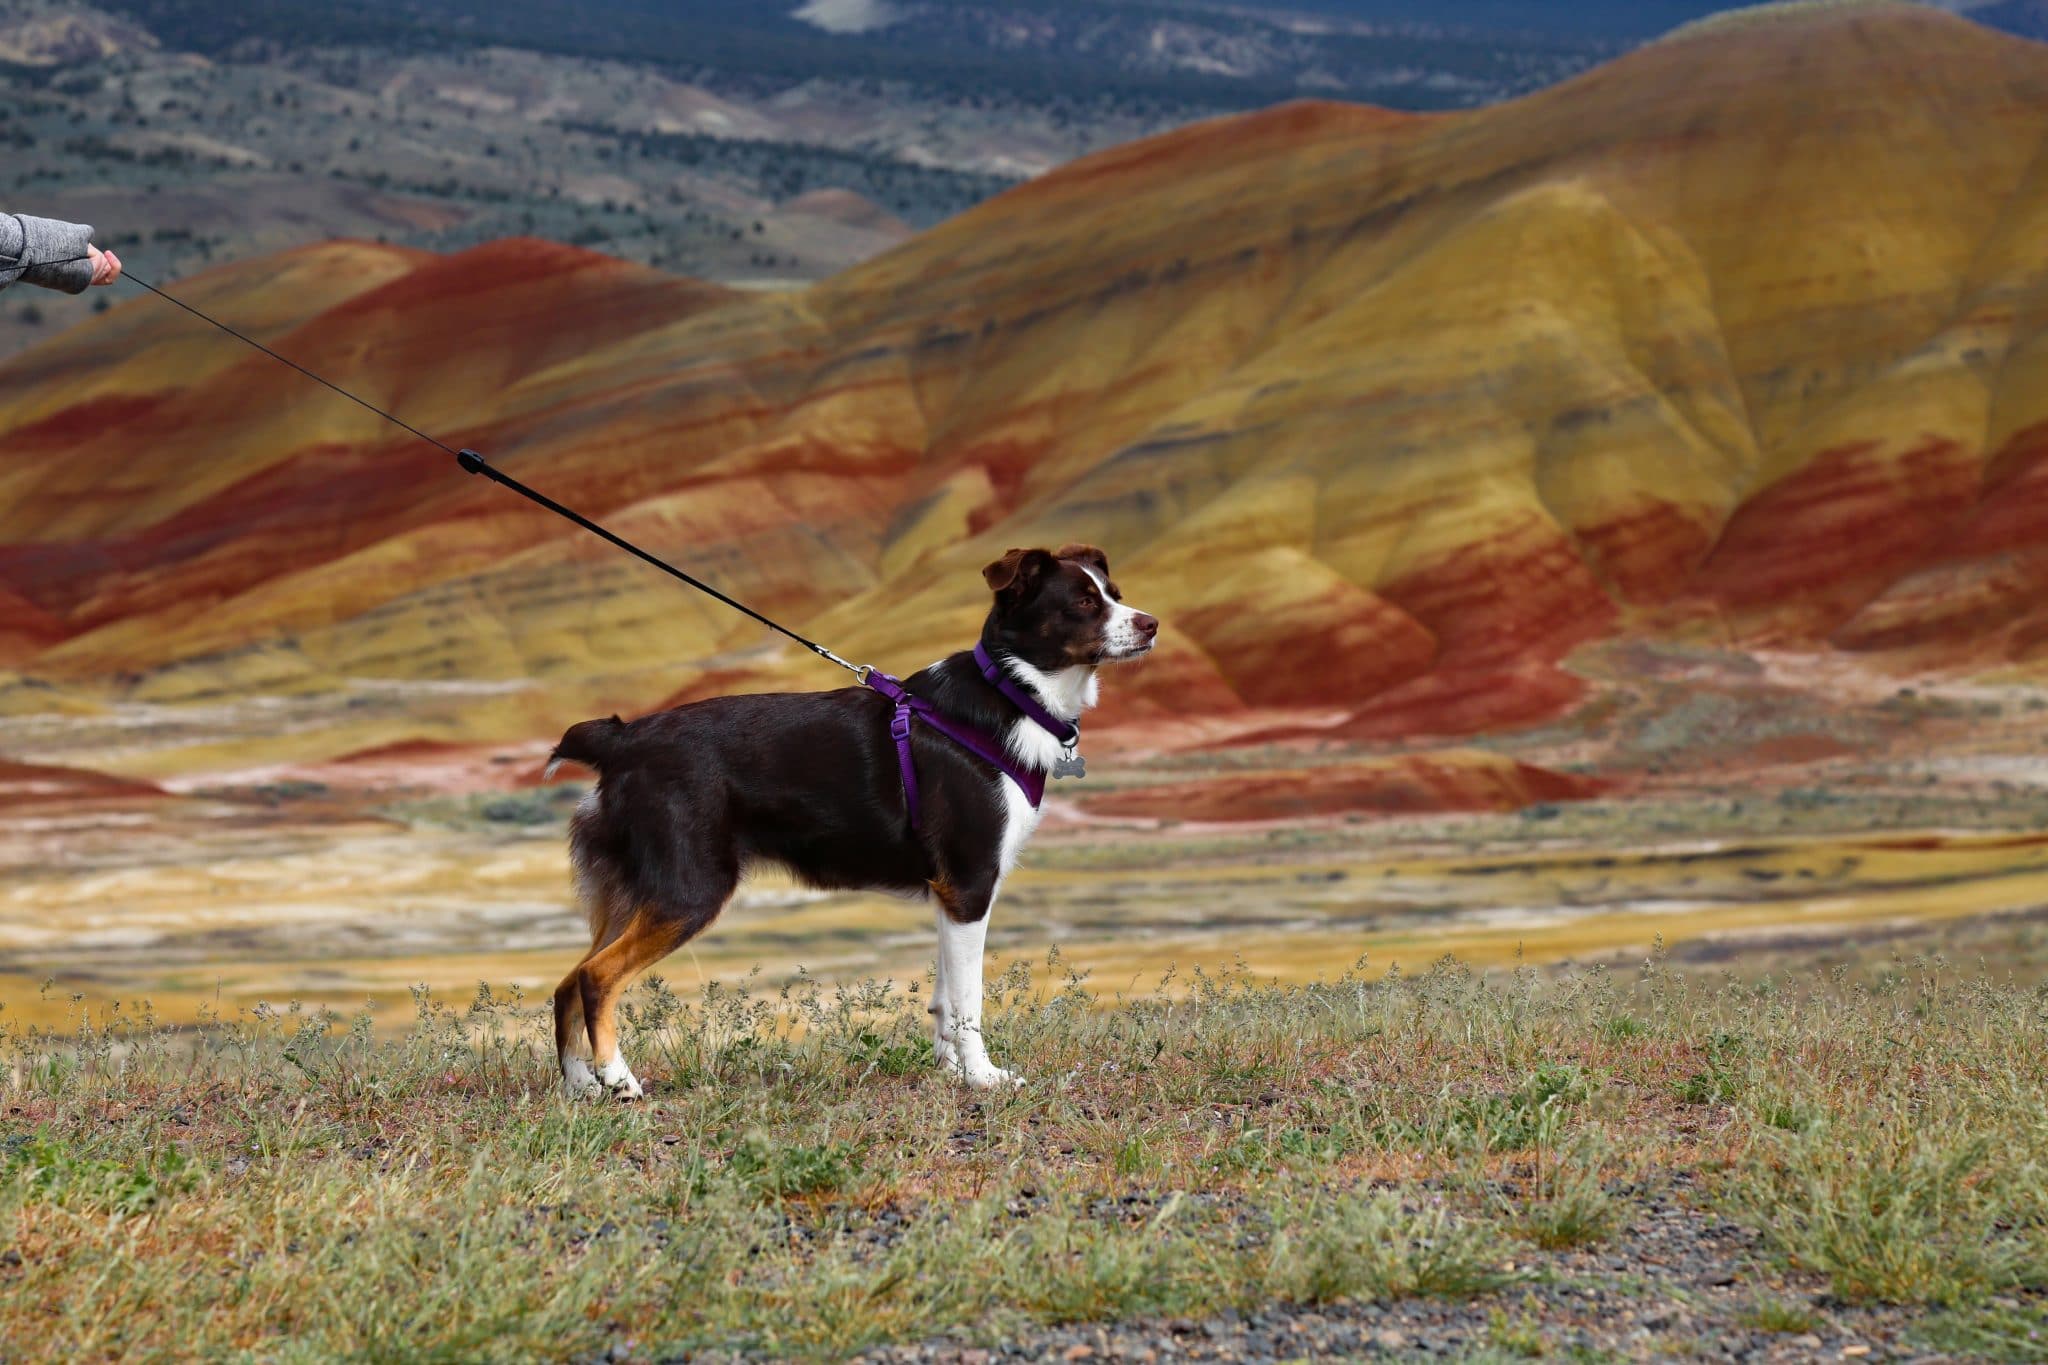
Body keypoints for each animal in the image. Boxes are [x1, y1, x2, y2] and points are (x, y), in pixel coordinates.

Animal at [540, 548, 1155, 1096]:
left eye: (1114, 593)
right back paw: (618, 1080)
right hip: (686, 890)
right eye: (1082, 602)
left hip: (635, 891)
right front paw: (982, 1078)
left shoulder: (950, 893)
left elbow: (944, 998)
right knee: (596, 977)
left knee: (568, 981)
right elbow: (968, 1003)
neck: (1014, 689)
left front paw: (949, 1073)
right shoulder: (971, 884)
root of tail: (621, 741)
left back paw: (581, 1086)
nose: (1151, 624)